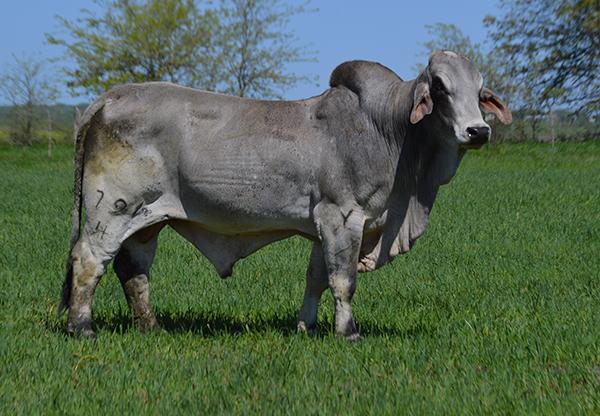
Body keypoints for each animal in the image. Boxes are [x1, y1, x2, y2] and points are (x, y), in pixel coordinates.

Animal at [59, 51, 510, 338]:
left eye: (480, 91)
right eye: (440, 87)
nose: (478, 130)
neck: (388, 129)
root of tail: (110, 97)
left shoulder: (323, 227)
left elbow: (316, 279)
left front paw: (305, 327)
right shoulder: (342, 217)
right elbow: (343, 281)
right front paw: (348, 332)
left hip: (147, 220)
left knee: (133, 270)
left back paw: (150, 327)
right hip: (111, 209)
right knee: (88, 260)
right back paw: (82, 329)